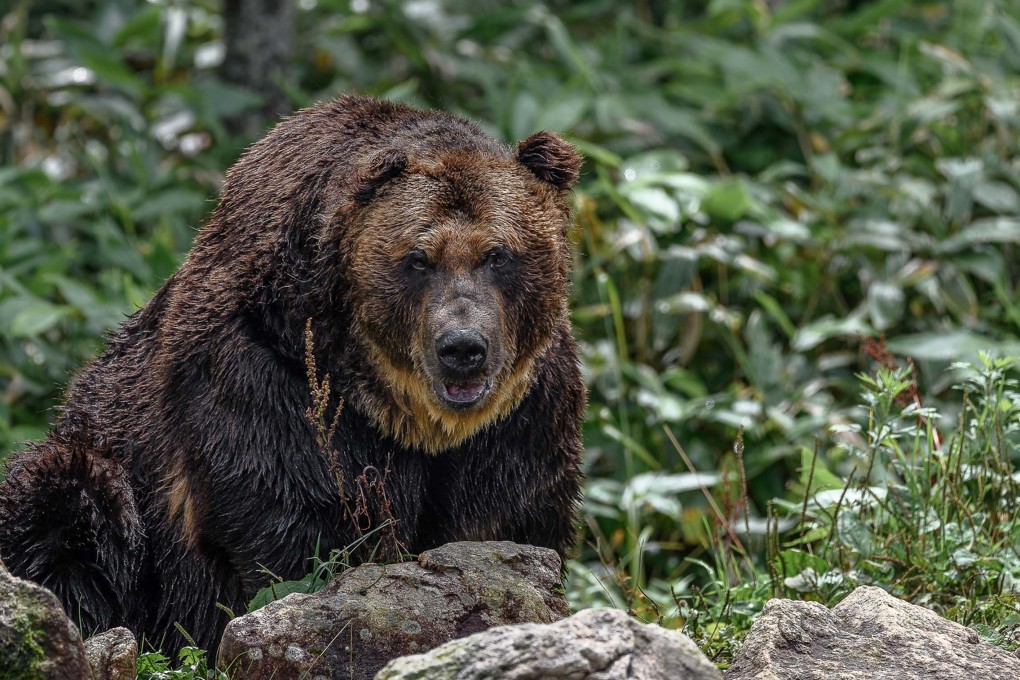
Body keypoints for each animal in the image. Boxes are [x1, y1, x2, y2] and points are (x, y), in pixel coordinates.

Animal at [0, 95, 585, 653]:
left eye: (498, 255)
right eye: (419, 259)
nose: (462, 348)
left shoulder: (524, 410)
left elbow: (505, 517)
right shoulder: (265, 374)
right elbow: (291, 524)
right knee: (66, 498)